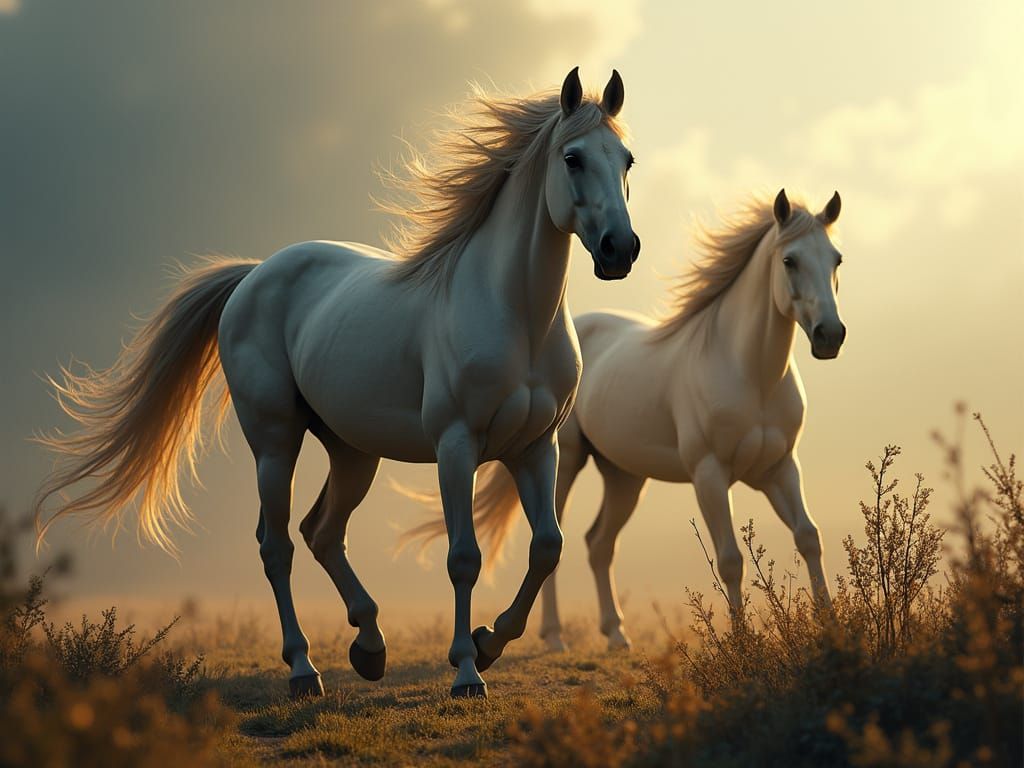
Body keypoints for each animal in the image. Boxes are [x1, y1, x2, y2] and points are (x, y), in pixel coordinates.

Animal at [32, 67, 641, 699]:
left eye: (626, 159)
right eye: (572, 158)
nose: (620, 250)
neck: (515, 315)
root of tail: (253, 276)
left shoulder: (536, 448)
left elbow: (547, 547)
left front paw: (489, 642)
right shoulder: (457, 445)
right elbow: (463, 557)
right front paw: (467, 672)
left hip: (353, 453)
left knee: (322, 531)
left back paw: (369, 646)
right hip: (275, 442)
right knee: (277, 545)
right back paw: (305, 669)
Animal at [403, 189, 844, 651]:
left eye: (836, 259)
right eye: (790, 260)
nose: (830, 335)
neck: (750, 372)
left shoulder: (780, 469)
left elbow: (809, 537)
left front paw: (832, 629)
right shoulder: (710, 475)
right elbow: (731, 559)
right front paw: (741, 643)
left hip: (624, 477)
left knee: (599, 544)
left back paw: (616, 633)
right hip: (566, 462)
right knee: (554, 541)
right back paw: (555, 636)